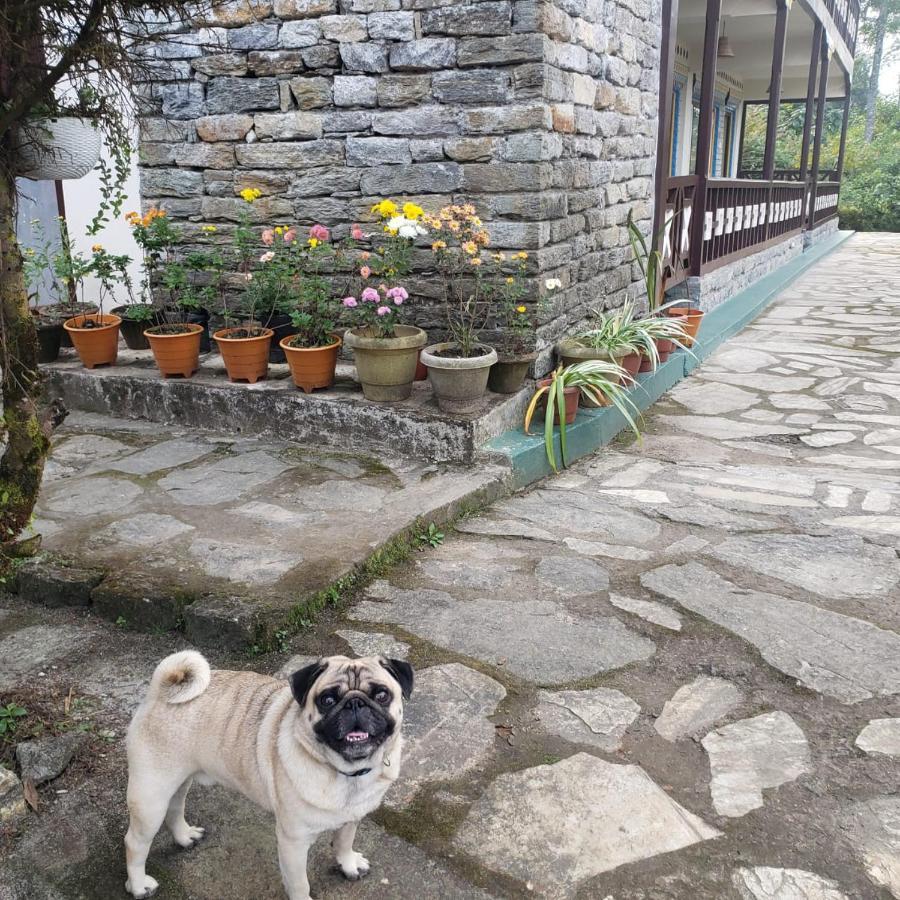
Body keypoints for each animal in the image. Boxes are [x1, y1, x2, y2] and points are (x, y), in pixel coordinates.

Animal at [123, 652, 412, 900]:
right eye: (327, 700)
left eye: (382, 695)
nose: (355, 703)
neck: (348, 772)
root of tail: (160, 691)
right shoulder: (293, 842)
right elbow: (299, 884)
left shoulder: (352, 816)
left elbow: (344, 841)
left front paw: (348, 864)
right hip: (151, 796)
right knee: (134, 842)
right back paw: (139, 885)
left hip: (178, 781)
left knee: (175, 807)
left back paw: (184, 836)